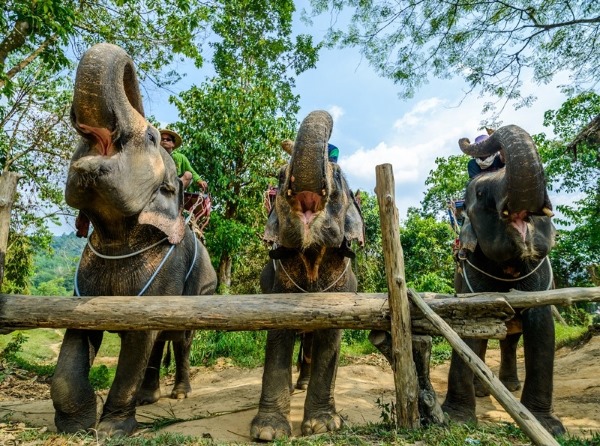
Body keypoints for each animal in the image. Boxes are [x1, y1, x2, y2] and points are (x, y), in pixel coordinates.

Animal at [50, 43, 217, 438]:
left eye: (153, 137)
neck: (118, 236)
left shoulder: (167, 270)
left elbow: (140, 338)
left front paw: (113, 429)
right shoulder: (83, 283)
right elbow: (78, 336)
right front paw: (75, 426)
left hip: (202, 288)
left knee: (180, 339)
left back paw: (180, 394)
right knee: (160, 342)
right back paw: (148, 397)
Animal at [250, 110, 364, 440]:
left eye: (338, 178)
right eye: (279, 177)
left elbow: (330, 338)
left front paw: (323, 426)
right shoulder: (279, 284)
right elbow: (278, 334)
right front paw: (268, 432)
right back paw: (294, 386)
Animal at [440, 124, 568, 436]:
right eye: (481, 192)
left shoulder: (541, 278)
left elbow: (542, 329)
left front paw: (549, 427)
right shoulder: (470, 274)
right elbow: (467, 329)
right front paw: (456, 419)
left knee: (510, 339)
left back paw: (509, 386)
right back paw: (484, 389)